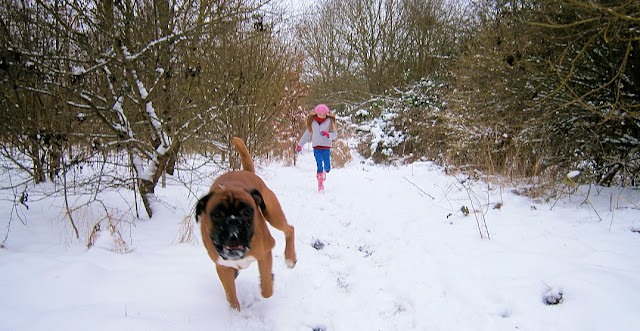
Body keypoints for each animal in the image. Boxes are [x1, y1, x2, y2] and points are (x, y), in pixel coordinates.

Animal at [195, 137, 298, 312]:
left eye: (247, 212)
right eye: (217, 214)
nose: (233, 221)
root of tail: (247, 172)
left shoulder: (265, 253)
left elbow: (266, 288)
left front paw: (268, 283)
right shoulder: (222, 267)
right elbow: (231, 296)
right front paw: (235, 312)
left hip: (273, 214)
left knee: (289, 229)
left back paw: (290, 258)